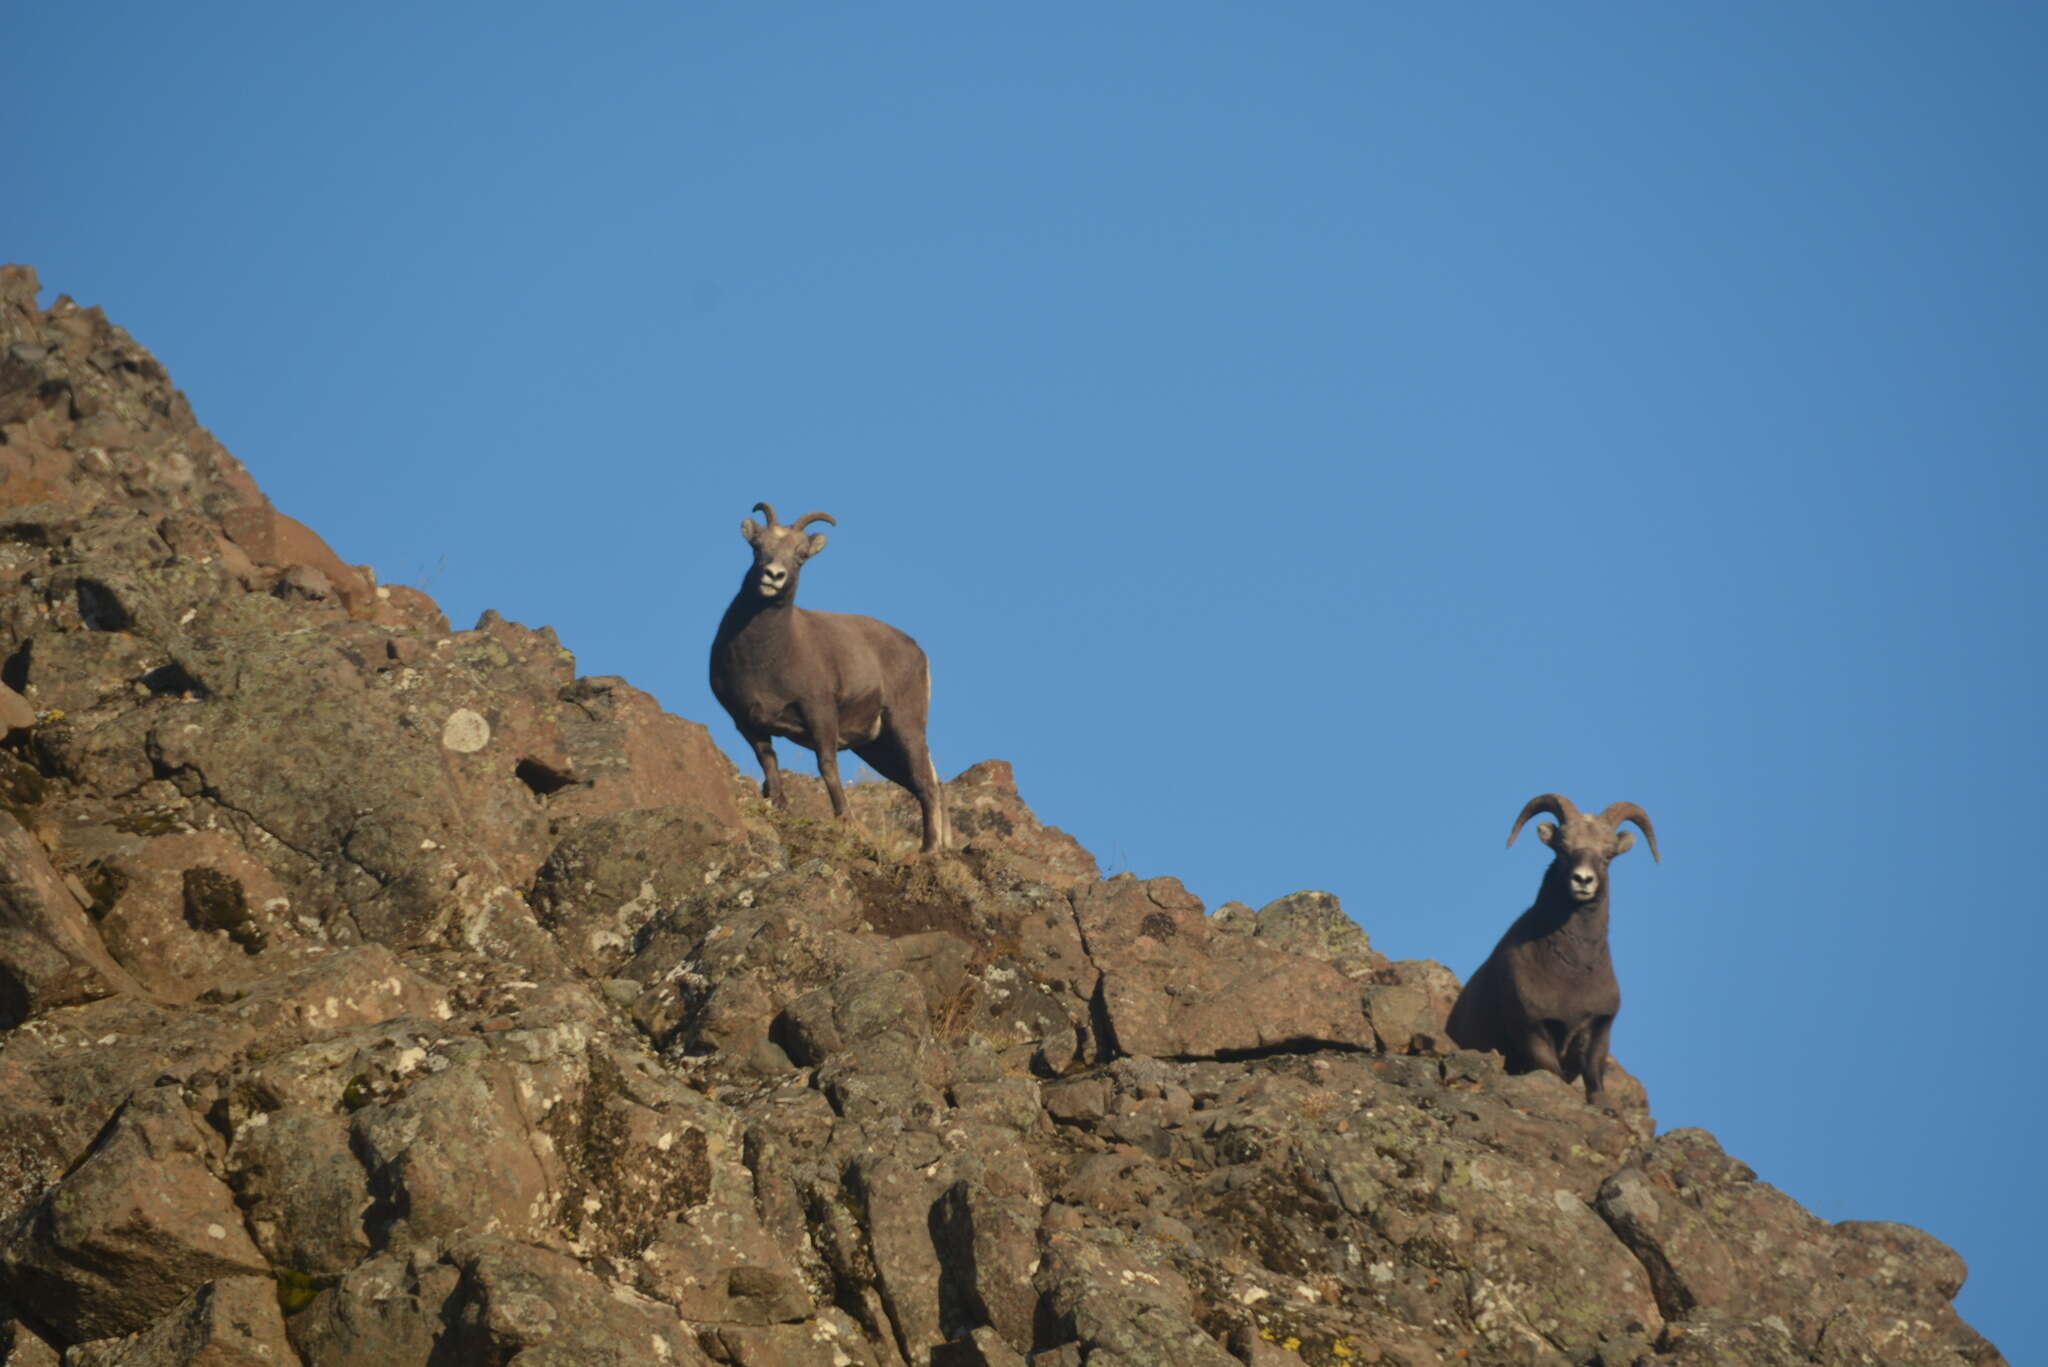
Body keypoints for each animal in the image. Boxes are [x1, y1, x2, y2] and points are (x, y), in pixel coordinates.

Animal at [708, 502, 946, 856]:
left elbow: (827, 767)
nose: (773, 576)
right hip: (877, 748)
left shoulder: (819, 713)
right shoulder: (747, 722)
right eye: (758, 547)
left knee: (926, 784)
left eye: (801, 555)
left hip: (906, 726)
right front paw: (778, 804)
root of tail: (918, 651)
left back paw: (928, 850)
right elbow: (768, 761)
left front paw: (845, 820)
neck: (765, 657)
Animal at [1441, 795, 1662, 1106]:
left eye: (1607, 856)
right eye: (1563, 849)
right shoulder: (1534, 1029)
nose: (1583, 880)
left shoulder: (1599, 1030)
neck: (1572, 976)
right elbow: (1550, 1070)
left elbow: (1594, 1077)